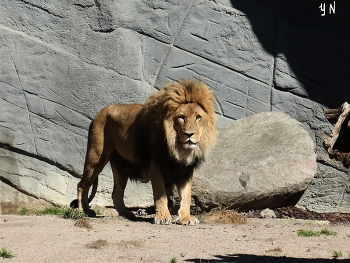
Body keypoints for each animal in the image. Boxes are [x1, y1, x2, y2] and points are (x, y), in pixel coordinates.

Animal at [74, 79, 216, 226]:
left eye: (198, 117)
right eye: (181, 117)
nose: (189, 134)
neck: (178, 147)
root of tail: (98, 114)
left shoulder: (185, 170)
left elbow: (186, 195)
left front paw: (186, 218)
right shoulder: (156, 165)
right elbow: (160, 193)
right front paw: (163, 217)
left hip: (120, 166)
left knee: (116, 193)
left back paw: (127, 213)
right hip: (95, 157)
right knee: (82, 186)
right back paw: (84, 211)